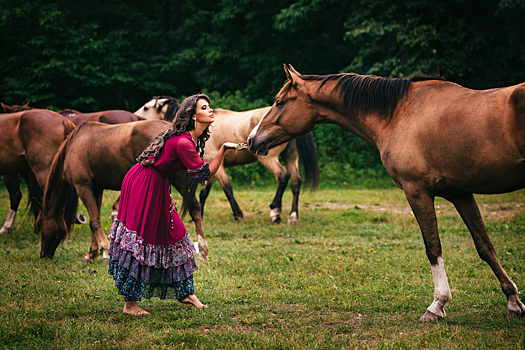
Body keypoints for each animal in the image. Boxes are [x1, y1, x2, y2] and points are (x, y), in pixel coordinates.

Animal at [38, 119, 209, 262]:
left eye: (40, 227)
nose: (43, 254)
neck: (73, 146)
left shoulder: (83, 186)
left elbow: (94, 221)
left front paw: (105, 252)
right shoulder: (96, 188)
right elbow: (94, 220)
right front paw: (92, 254)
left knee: (194, 208)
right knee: (195, 208)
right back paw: (202, 251)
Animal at [134, 95, 320, 224]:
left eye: (146, 107)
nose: (135, 116)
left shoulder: (218, 167)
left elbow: (227, 189)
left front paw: (238, 215)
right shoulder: (209, 167)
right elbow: (204, 192)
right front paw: (198, 215)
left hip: (269, 158)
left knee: (283, 176)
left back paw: (275, 211)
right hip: (291, 157)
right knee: (295, 181)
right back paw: (292, 216)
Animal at [248, 64, 524, 322]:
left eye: (280, 102)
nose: (251, 140)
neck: (398, 114)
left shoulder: (417, 191)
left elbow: (433, 247)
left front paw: (437, 305)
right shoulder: (461, 194)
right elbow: (485, 246)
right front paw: (513, 301)